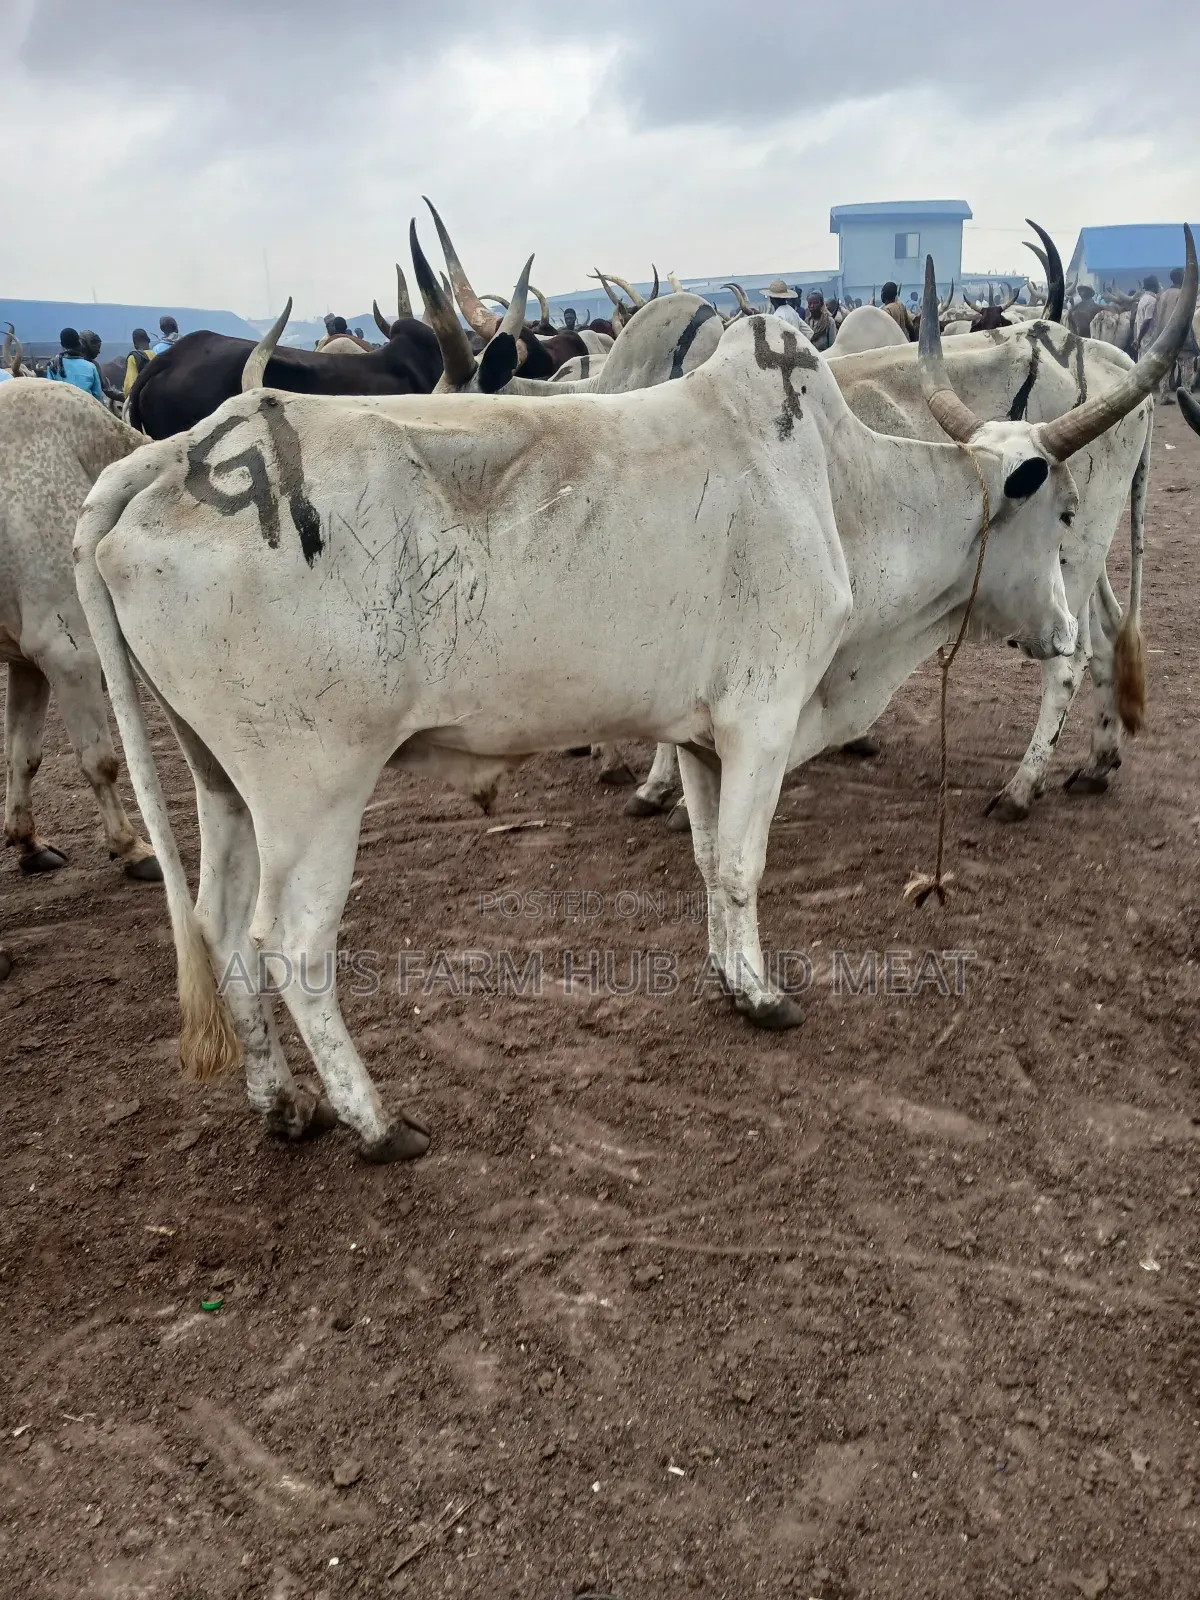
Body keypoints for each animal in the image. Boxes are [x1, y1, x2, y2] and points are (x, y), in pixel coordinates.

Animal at [1, 381, 159, 880]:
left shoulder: (28, 664)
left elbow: (23, 755)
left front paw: (28, 842)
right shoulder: (69, 653)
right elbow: (100, 761)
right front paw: (132, 847)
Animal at [72, 237, 1179, 1161]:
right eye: (1061, 507)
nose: (1058, 628)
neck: (838, 489)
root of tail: (167, 458)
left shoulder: (698, 736)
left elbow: (705, 860)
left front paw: (728, 977)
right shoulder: (762, 718)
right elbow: (742, 864)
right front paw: (764, 995)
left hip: (222, 782)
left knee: (219, 927)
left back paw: (282, 1104)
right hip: (311, 791)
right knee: (292, 947)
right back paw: (372, 1120)